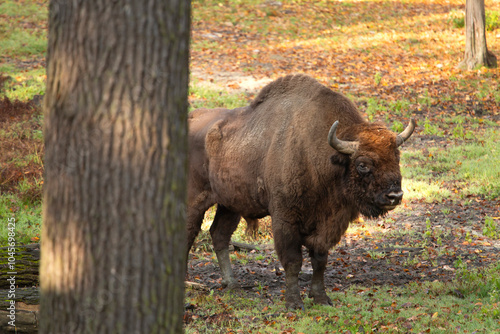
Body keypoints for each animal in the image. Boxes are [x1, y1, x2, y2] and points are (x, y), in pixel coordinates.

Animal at [186, 74, 416, 310]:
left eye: (396, 157)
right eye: (362, 164)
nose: (394, 196)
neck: (321, 157)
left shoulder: (327, 225)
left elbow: (320, 259)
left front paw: (321, 297)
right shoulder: (286, 220)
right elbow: (293, 261)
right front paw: (294, 302)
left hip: (230, 204)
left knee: (219, 235)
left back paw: (232, 284)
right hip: (194, 199)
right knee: (189, 234)